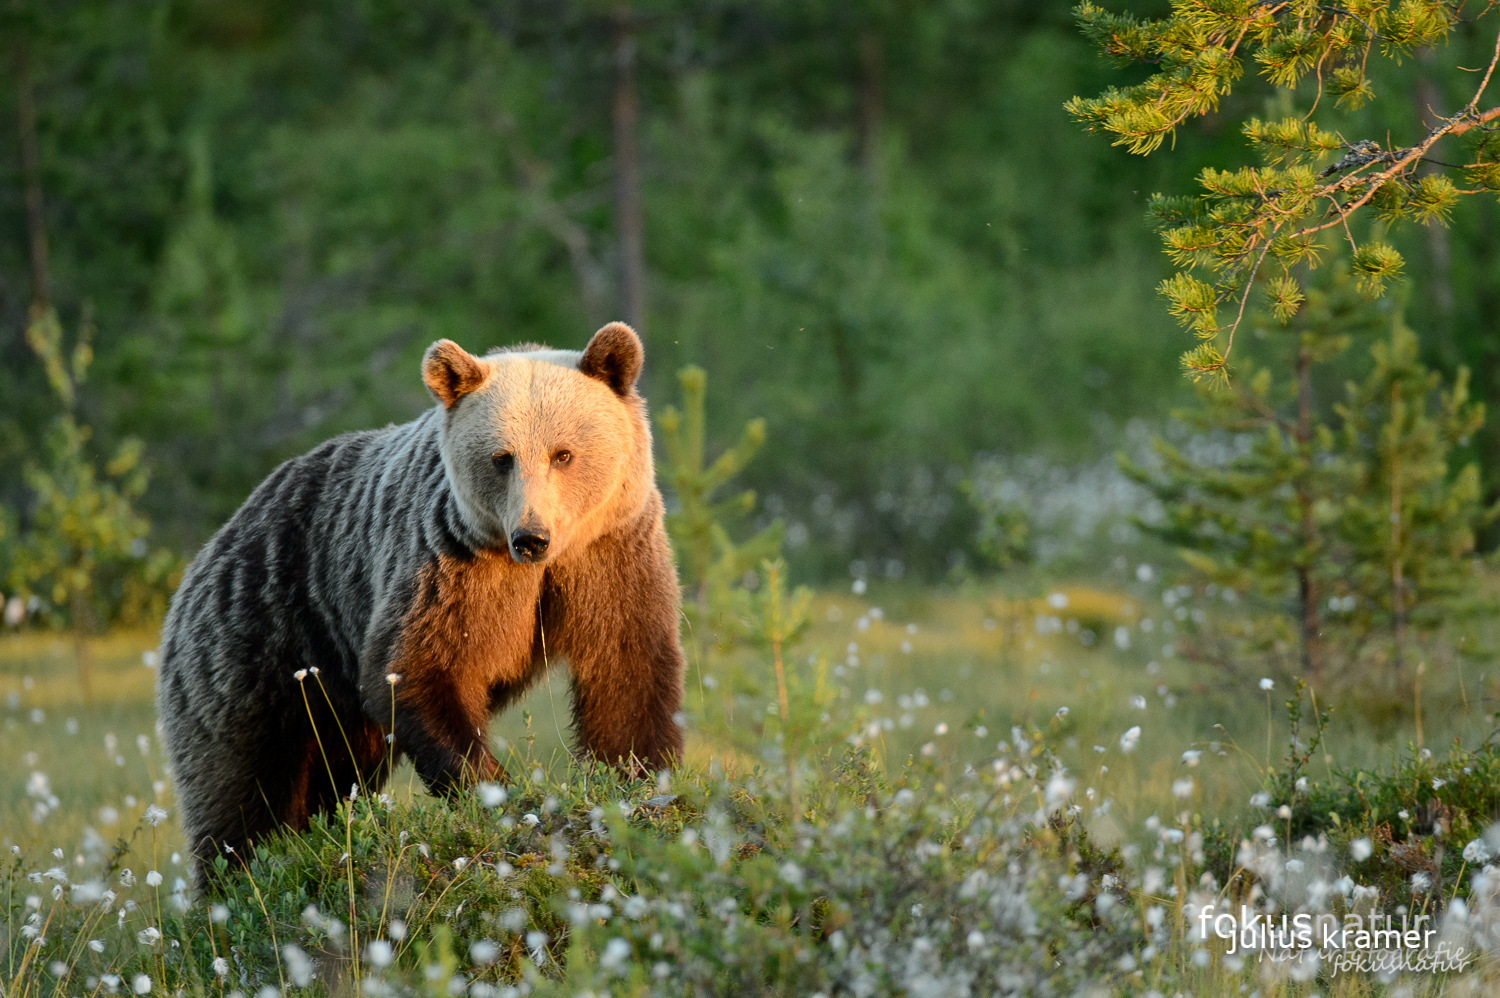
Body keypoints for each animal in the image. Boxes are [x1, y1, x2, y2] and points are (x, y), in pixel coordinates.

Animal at [156, 322, 687, 882]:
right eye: (502, 457)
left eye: (563, 454)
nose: (530, 537)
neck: (544, 565)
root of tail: (212, 546)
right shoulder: (449, 564)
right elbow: (420, 668)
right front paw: (496, 789)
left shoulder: (610, 554)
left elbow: (626, 664)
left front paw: (637, 773)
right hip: (257, 646)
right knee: (242, 787)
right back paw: (240, 869)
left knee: (330, 773)